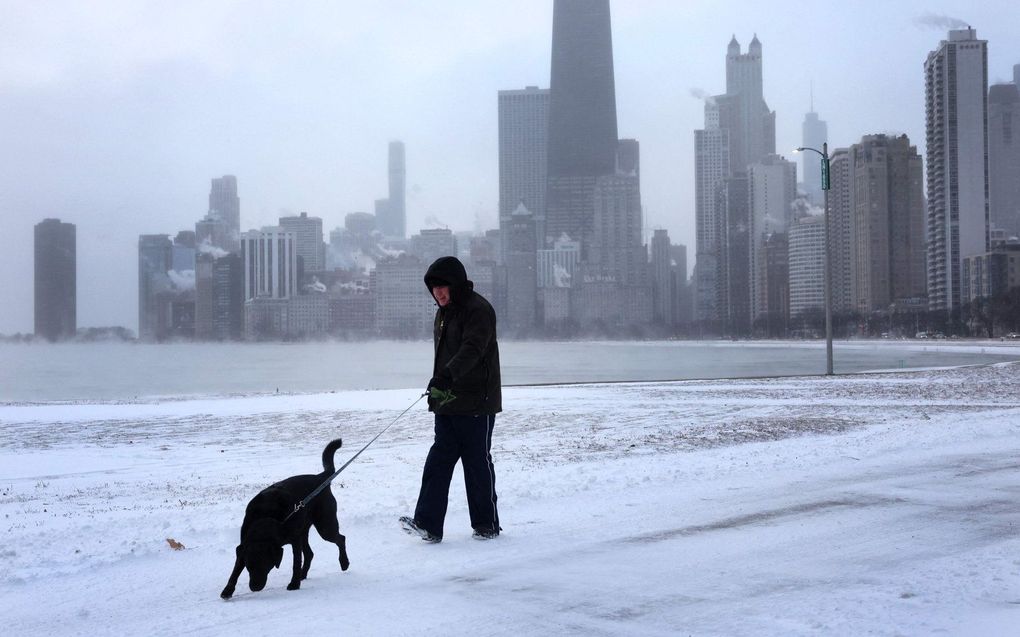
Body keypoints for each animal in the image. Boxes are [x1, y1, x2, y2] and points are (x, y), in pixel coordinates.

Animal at [221, 436, 352, 595]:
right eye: (249, 566)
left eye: (266, 564)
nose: (254, 588)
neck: (267, 517)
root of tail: (321, 478)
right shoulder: (244, 544)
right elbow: (235, 569)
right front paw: (227, 590)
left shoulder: (294, 540)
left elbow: (296, 562)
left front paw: (294, 584)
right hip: (304, 530)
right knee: (310, 553)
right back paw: (303, 574)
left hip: (325, 525)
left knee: (340, 538)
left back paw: (344, 563)